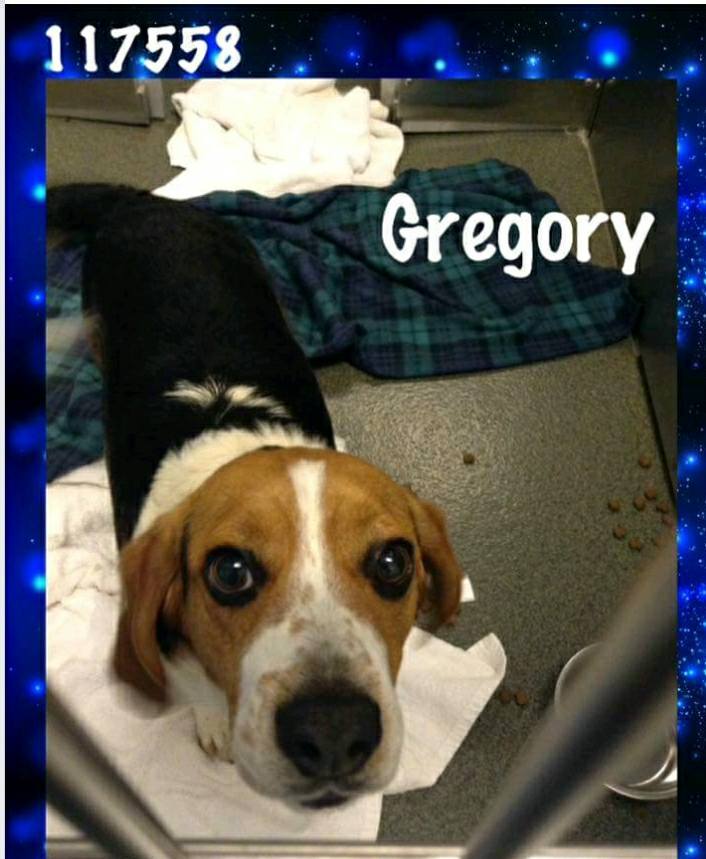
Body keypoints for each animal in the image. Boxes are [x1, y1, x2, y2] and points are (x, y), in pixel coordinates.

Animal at [48, 184, 462, 809]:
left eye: (394, 562)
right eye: (230, 572)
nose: (334, 732)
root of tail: (150, 205)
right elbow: (198, 689)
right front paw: (215, 720)